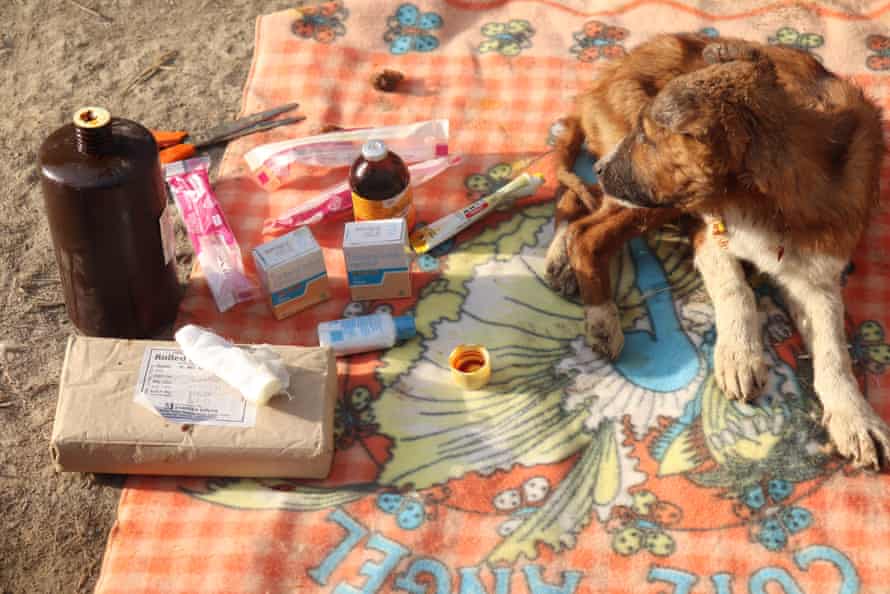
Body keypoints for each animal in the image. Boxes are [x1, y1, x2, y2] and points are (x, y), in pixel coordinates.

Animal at [544, 33, 888, 468]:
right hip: (658, 199)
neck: (767, 205)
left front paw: (855, 418)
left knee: (577, 207)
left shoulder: (817, 277)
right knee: (589, 231)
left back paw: (561, 258)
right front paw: (740, 355)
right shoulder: (711, 231)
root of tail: (603, 81)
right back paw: (600, 316)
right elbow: (736, 291)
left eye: (647, 139)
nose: (603, 167)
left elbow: (833, 349)